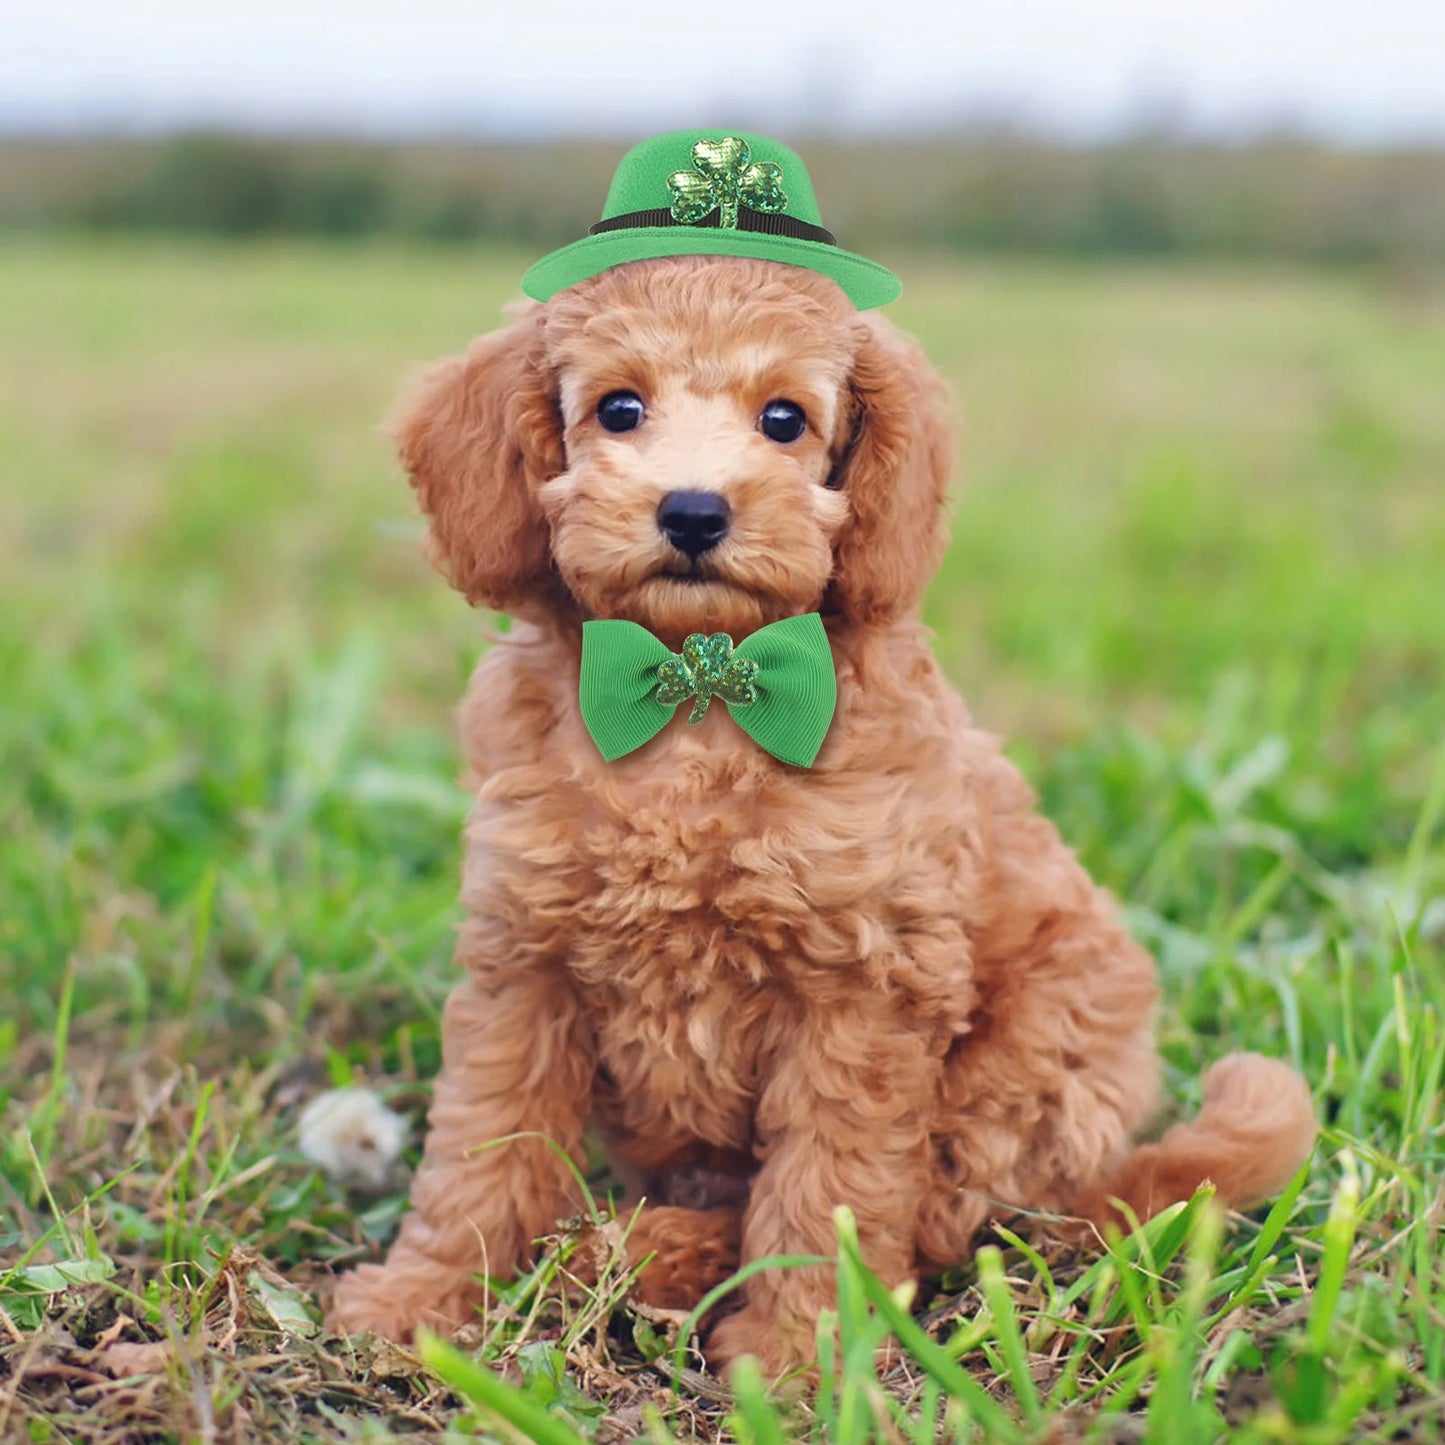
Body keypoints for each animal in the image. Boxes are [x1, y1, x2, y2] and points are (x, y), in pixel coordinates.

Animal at [330, 254, 1323, 1369]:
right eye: (618, 408)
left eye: (784, 419)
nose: (692, 512)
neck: (697, 689)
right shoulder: (523, 962)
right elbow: (480, 1145)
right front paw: (422, 1298)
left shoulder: (864, 986)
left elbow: (831, 1186)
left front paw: (798, 1355)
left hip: (1030, 1061)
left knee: (938, 1219)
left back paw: (643, 1252)